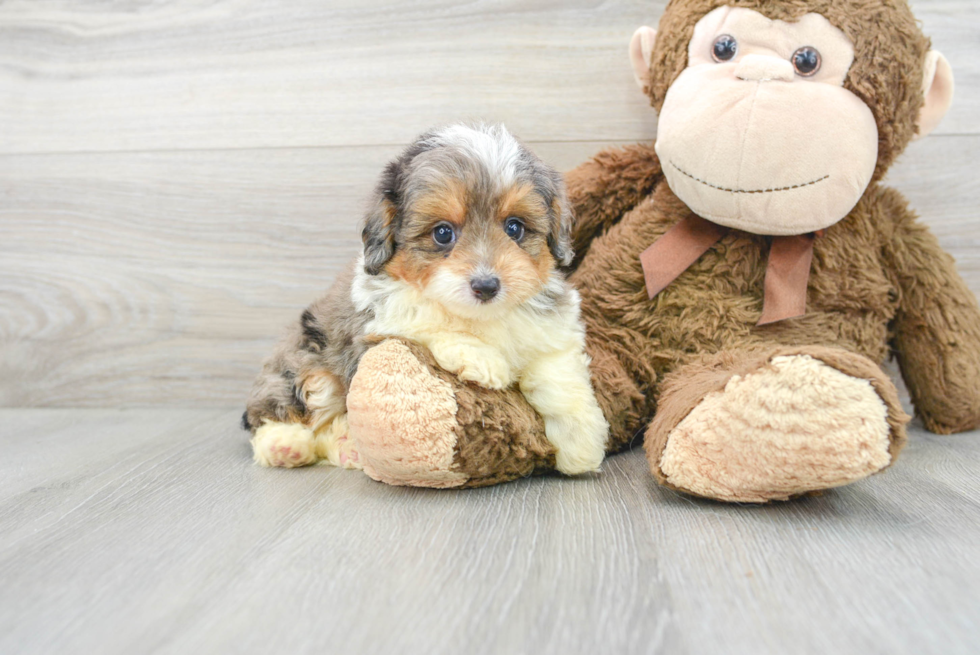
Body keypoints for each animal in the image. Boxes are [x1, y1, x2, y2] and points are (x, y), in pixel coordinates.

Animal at [241, 124, 608, 476]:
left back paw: (347, 447)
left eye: (514, 228)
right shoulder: (378, 319)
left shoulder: (552, 332)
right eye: (442, 233)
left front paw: (582, 442)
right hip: (307, 369)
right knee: (282, 413)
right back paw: (284, 445)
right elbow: (426, 317)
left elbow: (559, 377)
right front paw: (481, 358)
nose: (486, 285)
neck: (482, 316)